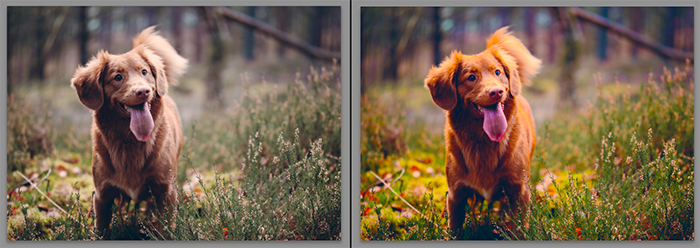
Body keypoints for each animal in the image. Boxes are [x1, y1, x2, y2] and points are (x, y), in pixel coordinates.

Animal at [70, 26, 189, 237]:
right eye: (117, 77)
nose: (143, 91)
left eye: (144, 72)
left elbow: (166, 228)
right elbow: (101, 230)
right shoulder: (103, 194)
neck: (130, 141)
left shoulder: (166, 189)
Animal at [422, 27, 540, 236]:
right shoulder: (456, 195)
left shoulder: (519, 189)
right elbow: (455, 231)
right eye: (471, 77)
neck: (483, 141)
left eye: (498, 72)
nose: (496, 92)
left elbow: (520, 229)